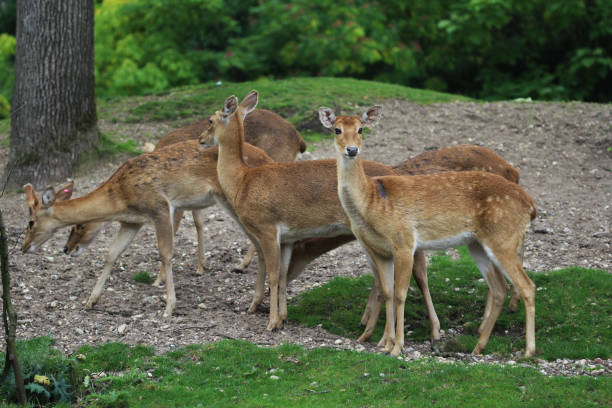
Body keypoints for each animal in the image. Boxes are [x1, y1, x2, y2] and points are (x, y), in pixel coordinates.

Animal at [320, 105, 536, 356]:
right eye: (337, 129)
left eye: (361, 129)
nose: (352, 150)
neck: (372, 202)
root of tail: (530, 205)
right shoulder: (380, 251)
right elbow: (388, 292)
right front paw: (385, 343)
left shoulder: (404, 240)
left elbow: (401, 293)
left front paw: (397, 347)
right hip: (477, 244)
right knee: (500, 287)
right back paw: (478, 347)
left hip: (503, 238)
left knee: (527, 286)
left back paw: (528, 351)